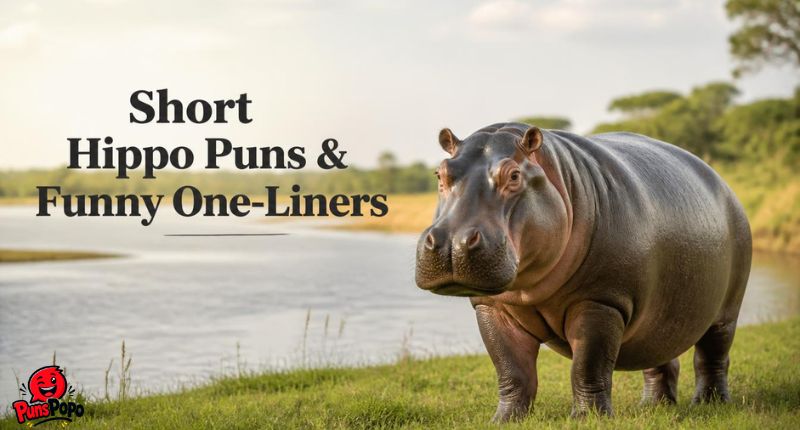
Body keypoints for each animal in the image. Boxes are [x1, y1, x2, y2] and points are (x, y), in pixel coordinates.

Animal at [415, 123, 751, 422]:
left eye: (513, 175)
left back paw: (709, 404)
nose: (451, 244)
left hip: (726, 311)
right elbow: (512, 372)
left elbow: (588, 366)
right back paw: (652, 407)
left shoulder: (601, 301)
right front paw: (505, 420)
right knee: (659, 357)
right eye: (440, 174)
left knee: (712, 356)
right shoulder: (492, 307)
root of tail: (724, 184)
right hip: (660, 314)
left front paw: (588, 418)